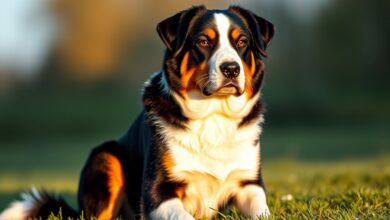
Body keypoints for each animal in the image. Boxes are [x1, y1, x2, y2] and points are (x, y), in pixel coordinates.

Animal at [0, 5, 274, 220]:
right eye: (203, 41)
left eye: (242, 42)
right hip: (106, 156)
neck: (213, 117)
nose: (231, 69)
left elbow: (263, 212)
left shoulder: (249, 184)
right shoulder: (157, 193)